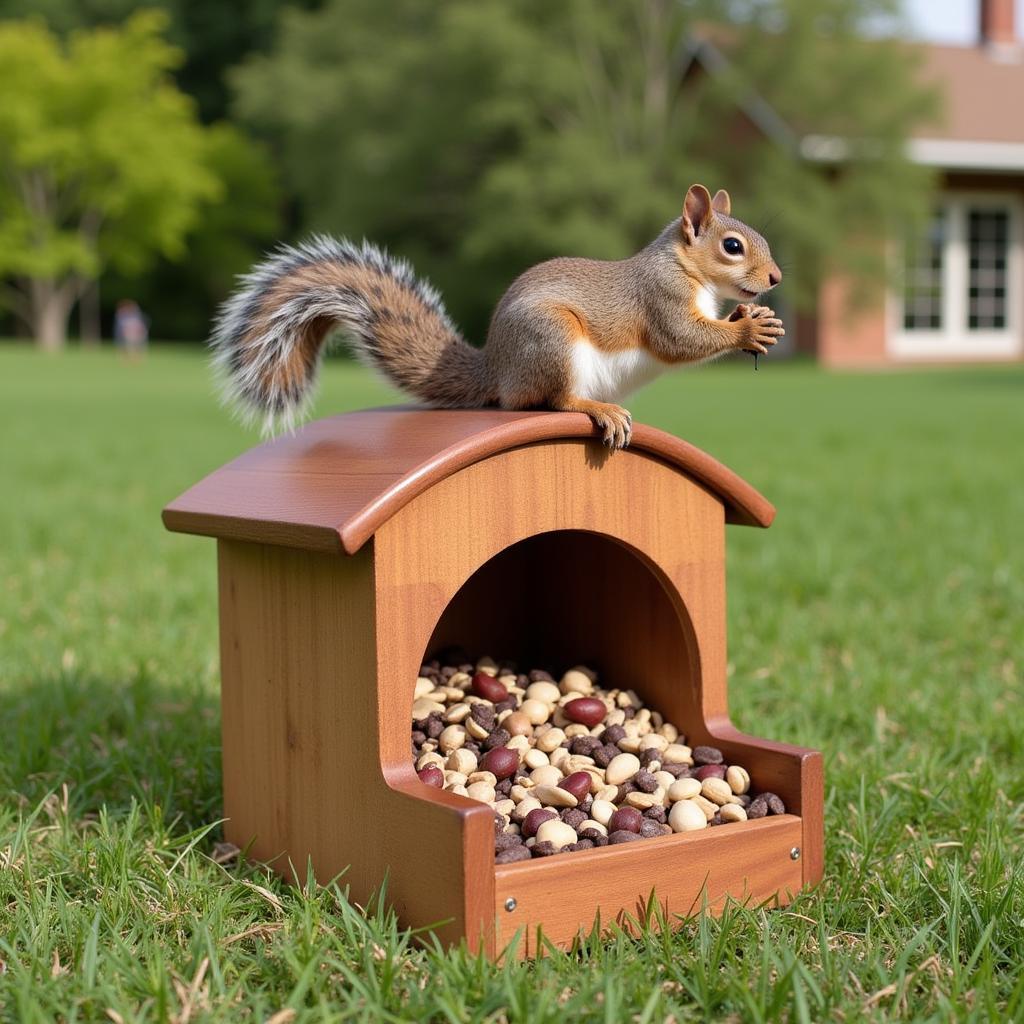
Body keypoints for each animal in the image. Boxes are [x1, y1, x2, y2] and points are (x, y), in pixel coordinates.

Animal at [211, 185, 778, 448]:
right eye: (732, 246)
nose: (774, 279)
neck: (687, 268)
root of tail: (497, 368)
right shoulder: (660, 299)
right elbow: (680, 339)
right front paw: (748, 327)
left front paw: (750, 315)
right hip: (552, 341)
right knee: (551, 401)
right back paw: (597, 409)